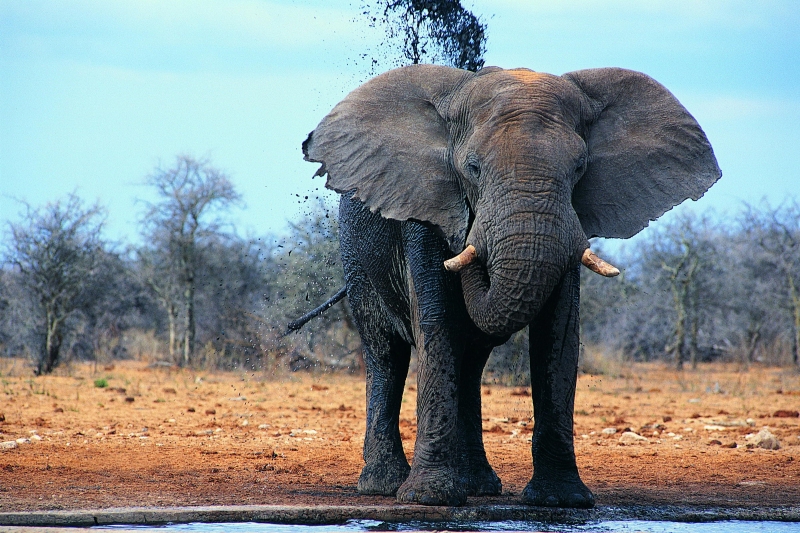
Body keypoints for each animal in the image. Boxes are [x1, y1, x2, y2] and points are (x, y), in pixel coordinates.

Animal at [298, 64, 720, 504]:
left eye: (579, 169)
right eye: (472, 168)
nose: (469, 230)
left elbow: (558, 334)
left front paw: (561, 500)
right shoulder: (423, 212)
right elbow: (437, 325)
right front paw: (430, 498)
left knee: (470, 363)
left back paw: (479, 486)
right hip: (356, 257)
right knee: (386, 354)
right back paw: (383, 486)